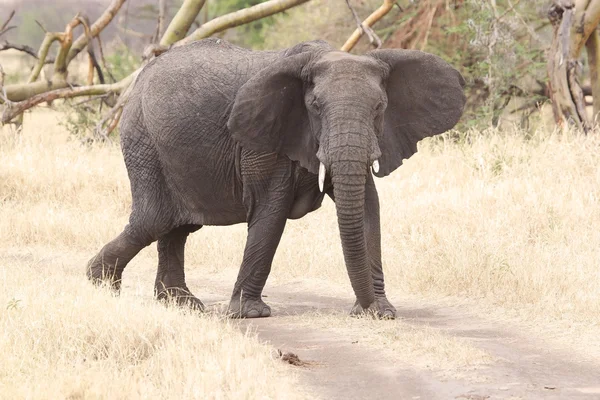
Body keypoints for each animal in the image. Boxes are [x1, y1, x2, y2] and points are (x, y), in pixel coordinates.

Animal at [86, 37, 466, 318]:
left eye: (379, 108)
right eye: (315, 107)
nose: (366, 309)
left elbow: (368, 207)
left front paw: (382, 311)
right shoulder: (264, 140)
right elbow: (271, 209)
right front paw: (249, 314)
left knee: (177, 227)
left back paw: (180, 303)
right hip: (142, 139)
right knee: (155, 219)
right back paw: (99, 285)